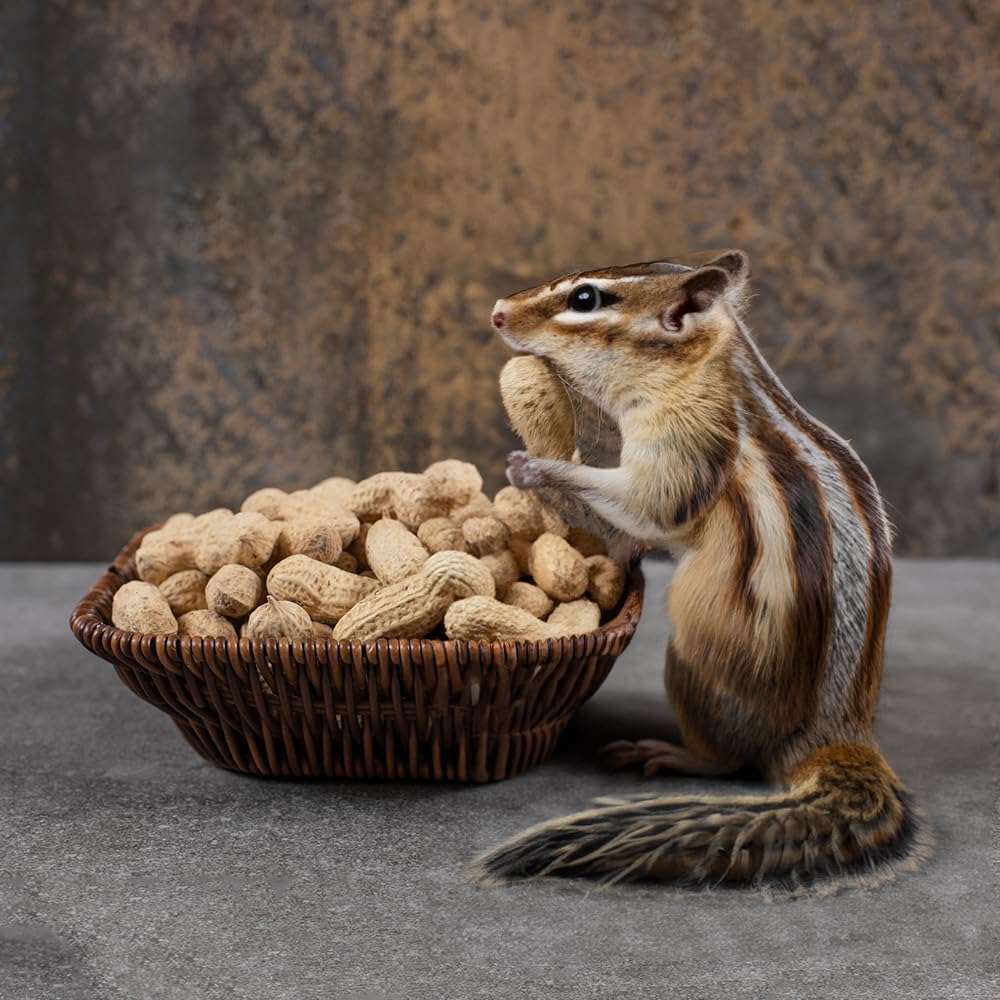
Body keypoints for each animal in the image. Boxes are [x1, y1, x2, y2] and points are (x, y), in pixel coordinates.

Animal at [478, 250, 926, 890]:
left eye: (586, 299)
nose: (496, 312)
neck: (704, 374)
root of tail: (839, 737)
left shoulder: (687, 446)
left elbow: (646, 504)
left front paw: (535, 467)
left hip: (690, 668)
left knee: (730, 762)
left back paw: (667, 754)